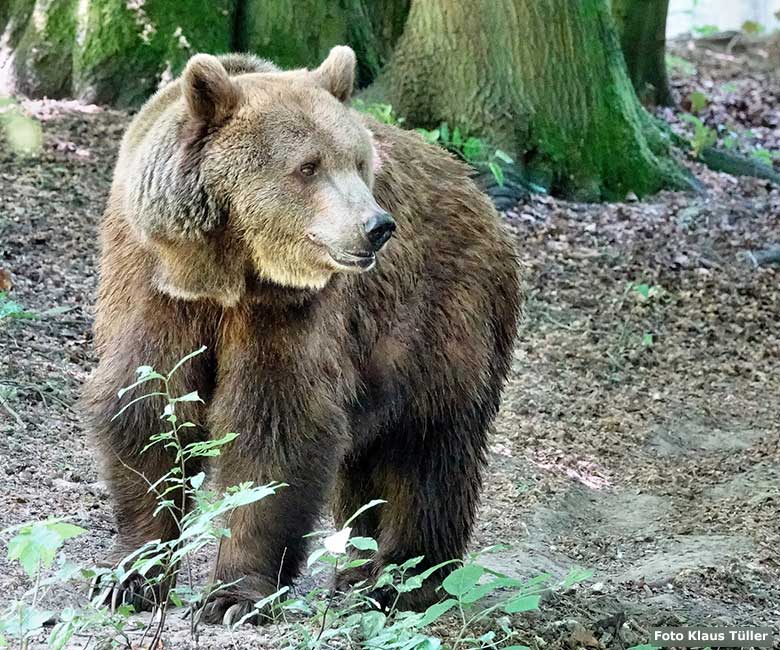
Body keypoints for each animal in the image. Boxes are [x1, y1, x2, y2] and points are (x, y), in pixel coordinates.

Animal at [84, 46, 524, 624]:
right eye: (308, 166)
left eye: (357, 162)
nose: (377, 226)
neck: (227, 269)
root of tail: (475, 187)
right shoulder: (156, 284)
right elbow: (148, 408)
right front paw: (128, 578)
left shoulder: (292, 309)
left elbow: (275, 425)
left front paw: (233, 596)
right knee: (372, 463)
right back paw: (357, 574)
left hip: (445, 321)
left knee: (427, 451)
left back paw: (402, 582)